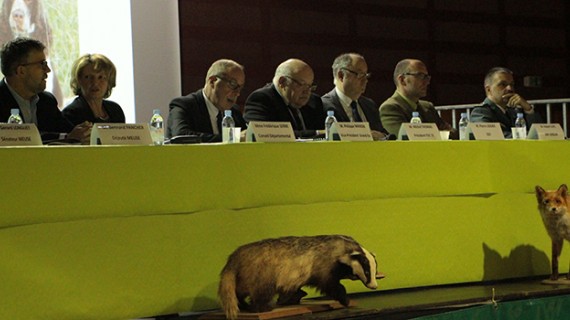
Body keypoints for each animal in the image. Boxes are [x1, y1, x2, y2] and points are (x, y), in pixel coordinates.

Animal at [216, 234, 382, 318]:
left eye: (374, 271)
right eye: (367, 272)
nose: (374, 286)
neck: (340, 248)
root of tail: (234, 258)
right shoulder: (324, 265)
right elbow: (331, 285)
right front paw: (346, 300)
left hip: (244, 277)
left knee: (239, 291)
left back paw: (243, 305)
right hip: (262, 273)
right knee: (262, 291)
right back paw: (263, 308)